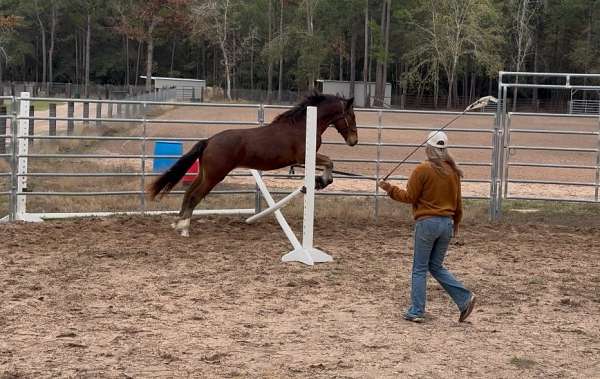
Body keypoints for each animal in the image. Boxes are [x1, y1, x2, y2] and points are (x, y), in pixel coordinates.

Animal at [148, 90, 358, 236]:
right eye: (351, 116)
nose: (354, 141)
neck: (302, 126)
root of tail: (209, 141)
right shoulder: (303, 158)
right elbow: (329, 162)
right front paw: (324, 181)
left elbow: (329, 162)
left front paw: (322, 181)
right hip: (214, 176)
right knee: (194, 196)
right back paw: (184, 228)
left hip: (204, 174)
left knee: (188, 193)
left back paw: (178, 222)